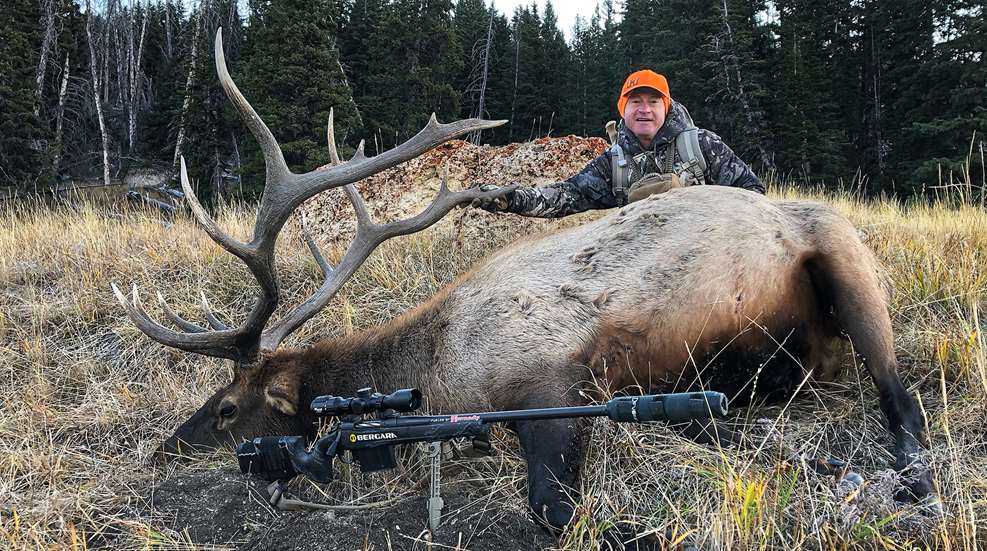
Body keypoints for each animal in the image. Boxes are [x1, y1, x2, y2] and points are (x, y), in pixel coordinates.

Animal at [114, 29, 935, 538]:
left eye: (226, 408)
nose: (161, 450)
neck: (432, 366)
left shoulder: (553, 381)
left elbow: (550, 508)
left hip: (846, 261)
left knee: (903, 397)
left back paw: (912, 481)